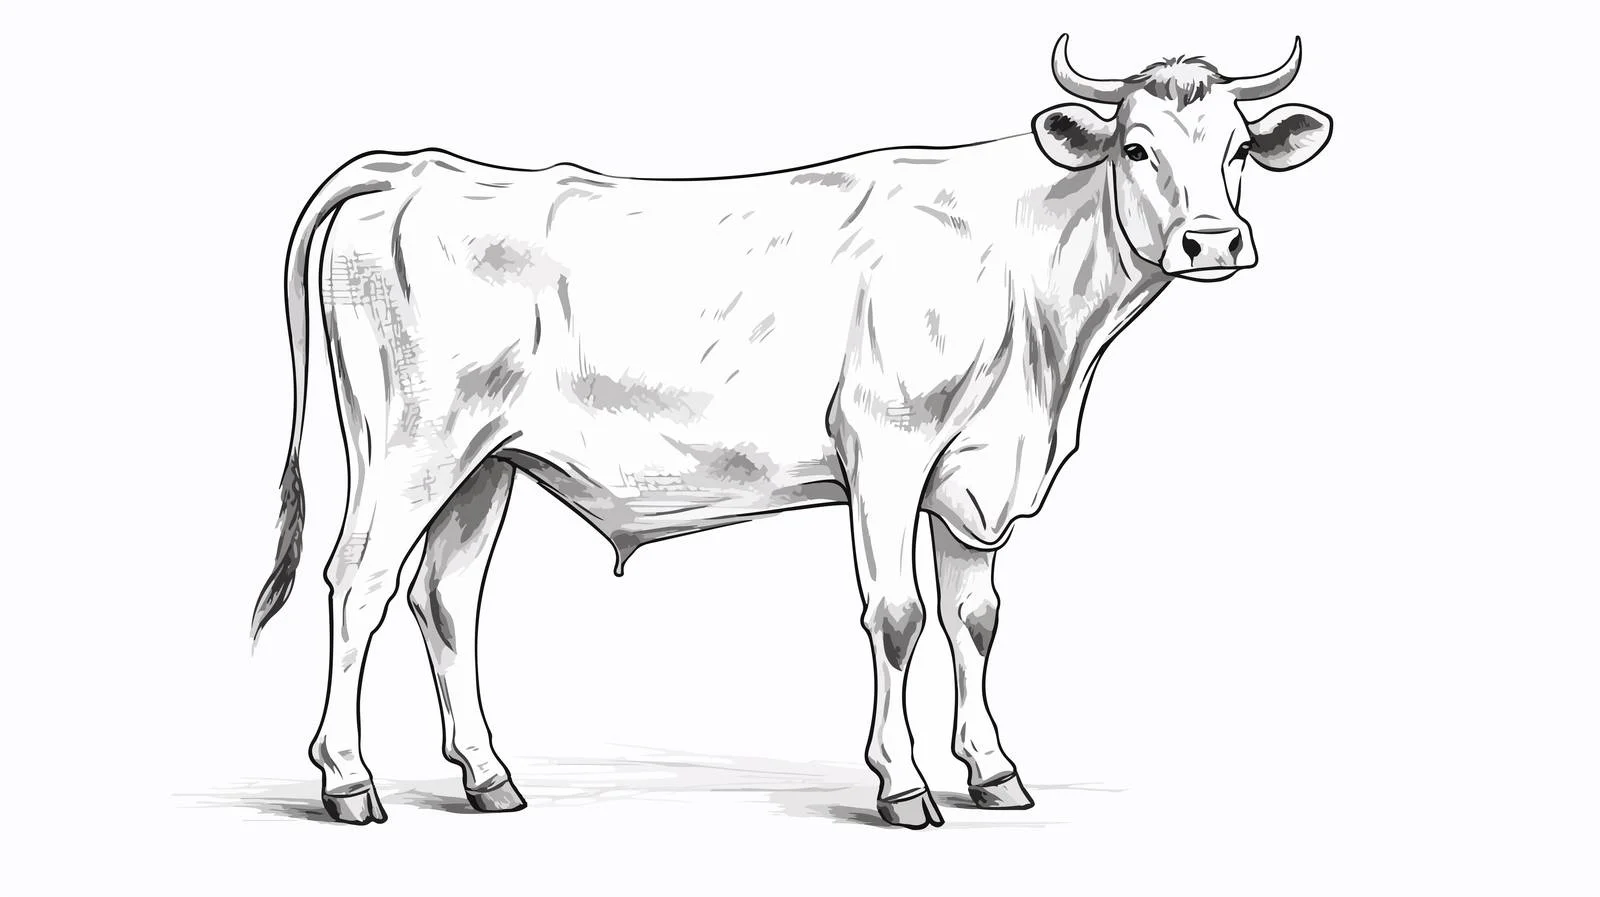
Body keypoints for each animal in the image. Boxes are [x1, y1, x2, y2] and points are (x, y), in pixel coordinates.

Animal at [253, 35, 1332, 828]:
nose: (1211, 242)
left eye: (1238, 150)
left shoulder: (974, 476)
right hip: (410, 445)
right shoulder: (887, 446)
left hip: (485, 462)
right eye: (1135, 147)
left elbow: (975, 617)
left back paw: (487, 777)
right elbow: (897, 614)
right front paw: (904, 786)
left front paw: (991, 771)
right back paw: (347, 782)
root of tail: (413, 168)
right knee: (358, 583)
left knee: (444, 597)